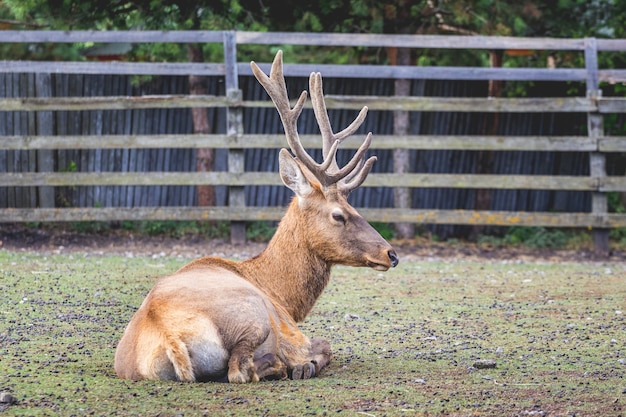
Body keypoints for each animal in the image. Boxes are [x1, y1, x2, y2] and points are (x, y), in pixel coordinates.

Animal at [112, 50, 398, 382]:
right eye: (339, 215)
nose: (391, 253)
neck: (281, 295)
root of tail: (169, 336)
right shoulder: (290, 329)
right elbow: (325, 344)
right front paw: (305, 363)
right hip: (254, 316)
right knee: (241, 370)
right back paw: (289, 366)